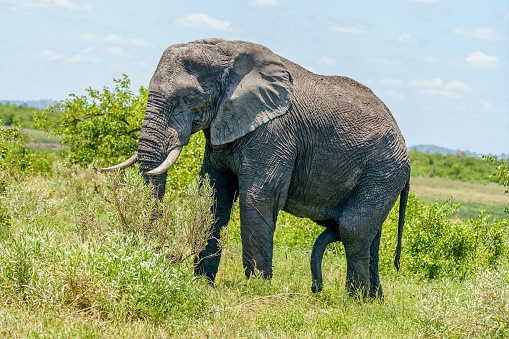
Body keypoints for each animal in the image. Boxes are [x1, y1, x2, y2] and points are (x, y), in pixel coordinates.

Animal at [102, 37, 408, 300]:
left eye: (189, 97)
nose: (159, 256)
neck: (228, 52)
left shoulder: (274, 132)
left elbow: (256, 198)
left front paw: (257, 290)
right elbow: (214, 197)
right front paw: (202, 284)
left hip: (384, 170)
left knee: (353, 229)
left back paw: (355, 301)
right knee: (370, 235)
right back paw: (374, 300)